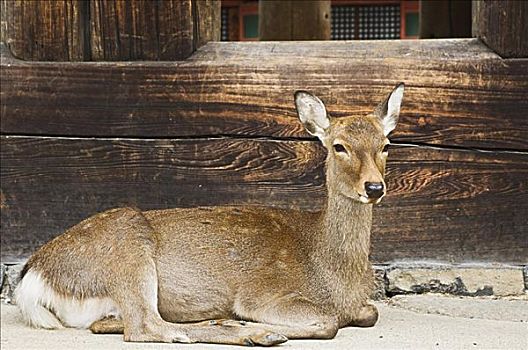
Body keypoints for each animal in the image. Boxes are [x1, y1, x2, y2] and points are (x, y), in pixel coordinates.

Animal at [15, 82, 404, 348]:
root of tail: (33, 278)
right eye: (339, 146)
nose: (374, 187)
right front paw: (255, 325)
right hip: (127, 251)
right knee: (144, 326)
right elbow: (329, 322)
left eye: (386, 144)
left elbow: (370, 312)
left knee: (115, 323)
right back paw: (251, 332)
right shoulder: (261, 292)